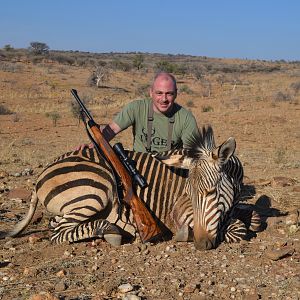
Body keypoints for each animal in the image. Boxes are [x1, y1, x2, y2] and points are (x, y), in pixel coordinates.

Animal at [0, 125, 260, 250]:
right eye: (187, 195)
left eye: (211, 193)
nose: (201, 244)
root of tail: (42, 174)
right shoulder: (182, 212)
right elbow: (236, 229)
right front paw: (184, 234)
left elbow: (252, 218)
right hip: (98, 188)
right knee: (58, 233)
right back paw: (110, 230)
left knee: (58, 225)